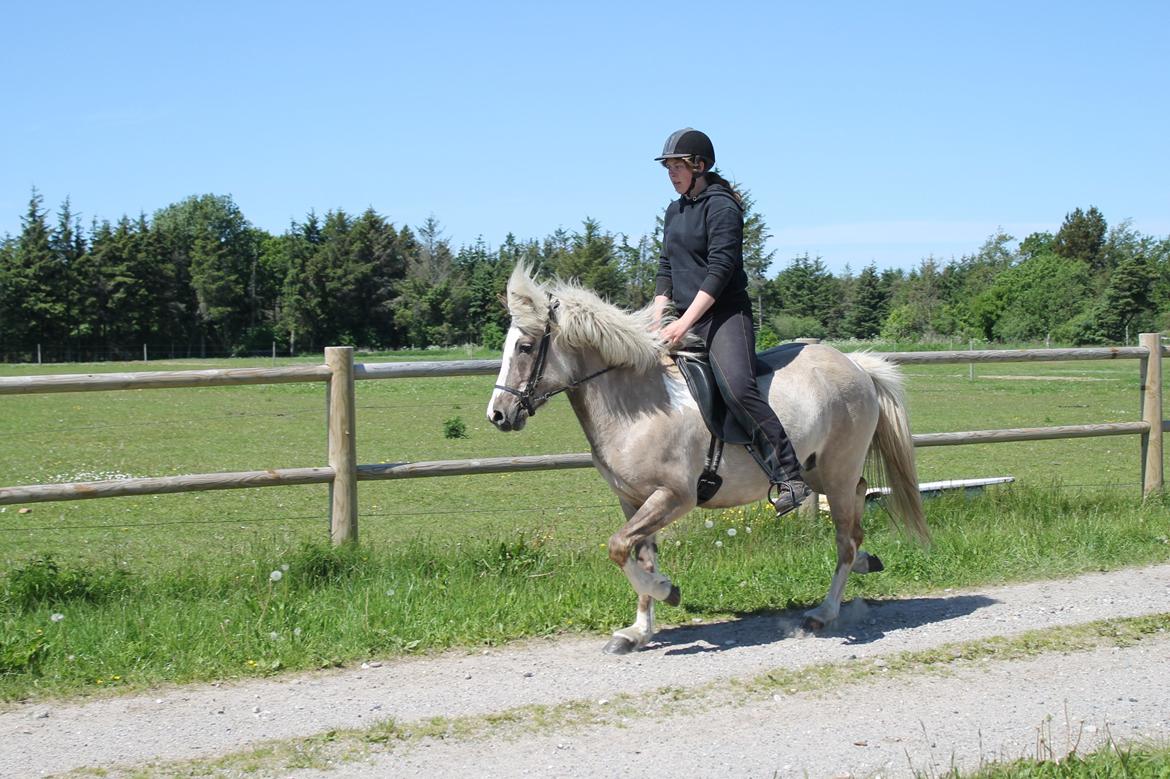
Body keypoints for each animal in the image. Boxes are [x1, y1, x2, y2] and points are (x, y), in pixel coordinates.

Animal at [482, 264, 921, 650]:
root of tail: (856, 365)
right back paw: (866, 560)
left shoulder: (674, 497)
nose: (498, 415)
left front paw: (667, 590)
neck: (638, 406)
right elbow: (639, 554)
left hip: (837, 470)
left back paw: (824, 612)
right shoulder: (633, 501)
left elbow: (619, 547)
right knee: (858, 506)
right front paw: (637, 631)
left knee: (844, 537)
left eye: (525, 347)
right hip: (819, 472)